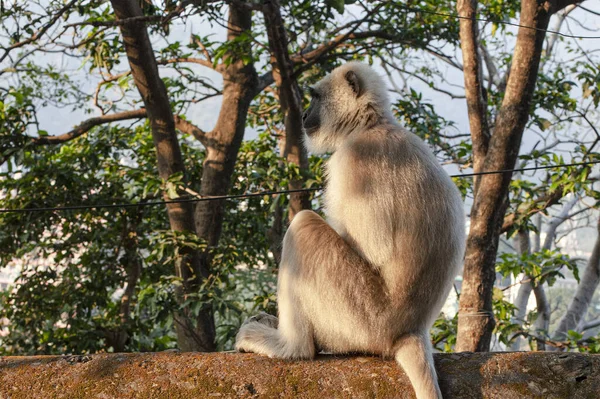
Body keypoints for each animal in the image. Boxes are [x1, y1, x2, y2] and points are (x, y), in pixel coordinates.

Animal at [234, 62, 464, 399]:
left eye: (315, 97)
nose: (304, 115)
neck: (370, 126)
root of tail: (409, 329)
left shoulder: (354, 159)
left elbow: (373, 249)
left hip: (359, 317)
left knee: (304, 227)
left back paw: (290, 347)